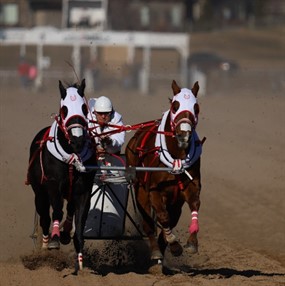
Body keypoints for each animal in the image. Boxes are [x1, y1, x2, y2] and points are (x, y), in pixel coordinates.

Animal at [25, 79, 95, 272]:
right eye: (64, 109)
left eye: (84, 108)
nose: (78, 140)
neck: (71, 155)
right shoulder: (53, 184)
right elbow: (56, 210)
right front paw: (54, 241)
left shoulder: (83, 190)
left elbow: (79, 220)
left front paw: (80, 260)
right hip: (39, 193)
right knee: (44, 217)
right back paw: (45, 246)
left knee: (69, 209)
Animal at [125, 80, 203, 264]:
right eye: (175, 106)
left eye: (196, 107)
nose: (184, 135)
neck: (176, 159)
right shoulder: (154, 190)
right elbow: (163, 216)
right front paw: (172, 244)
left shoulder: (190, 187)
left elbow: (194, 204)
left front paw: (191, 242)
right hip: (140, 191)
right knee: (148, 223)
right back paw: (156, 250)